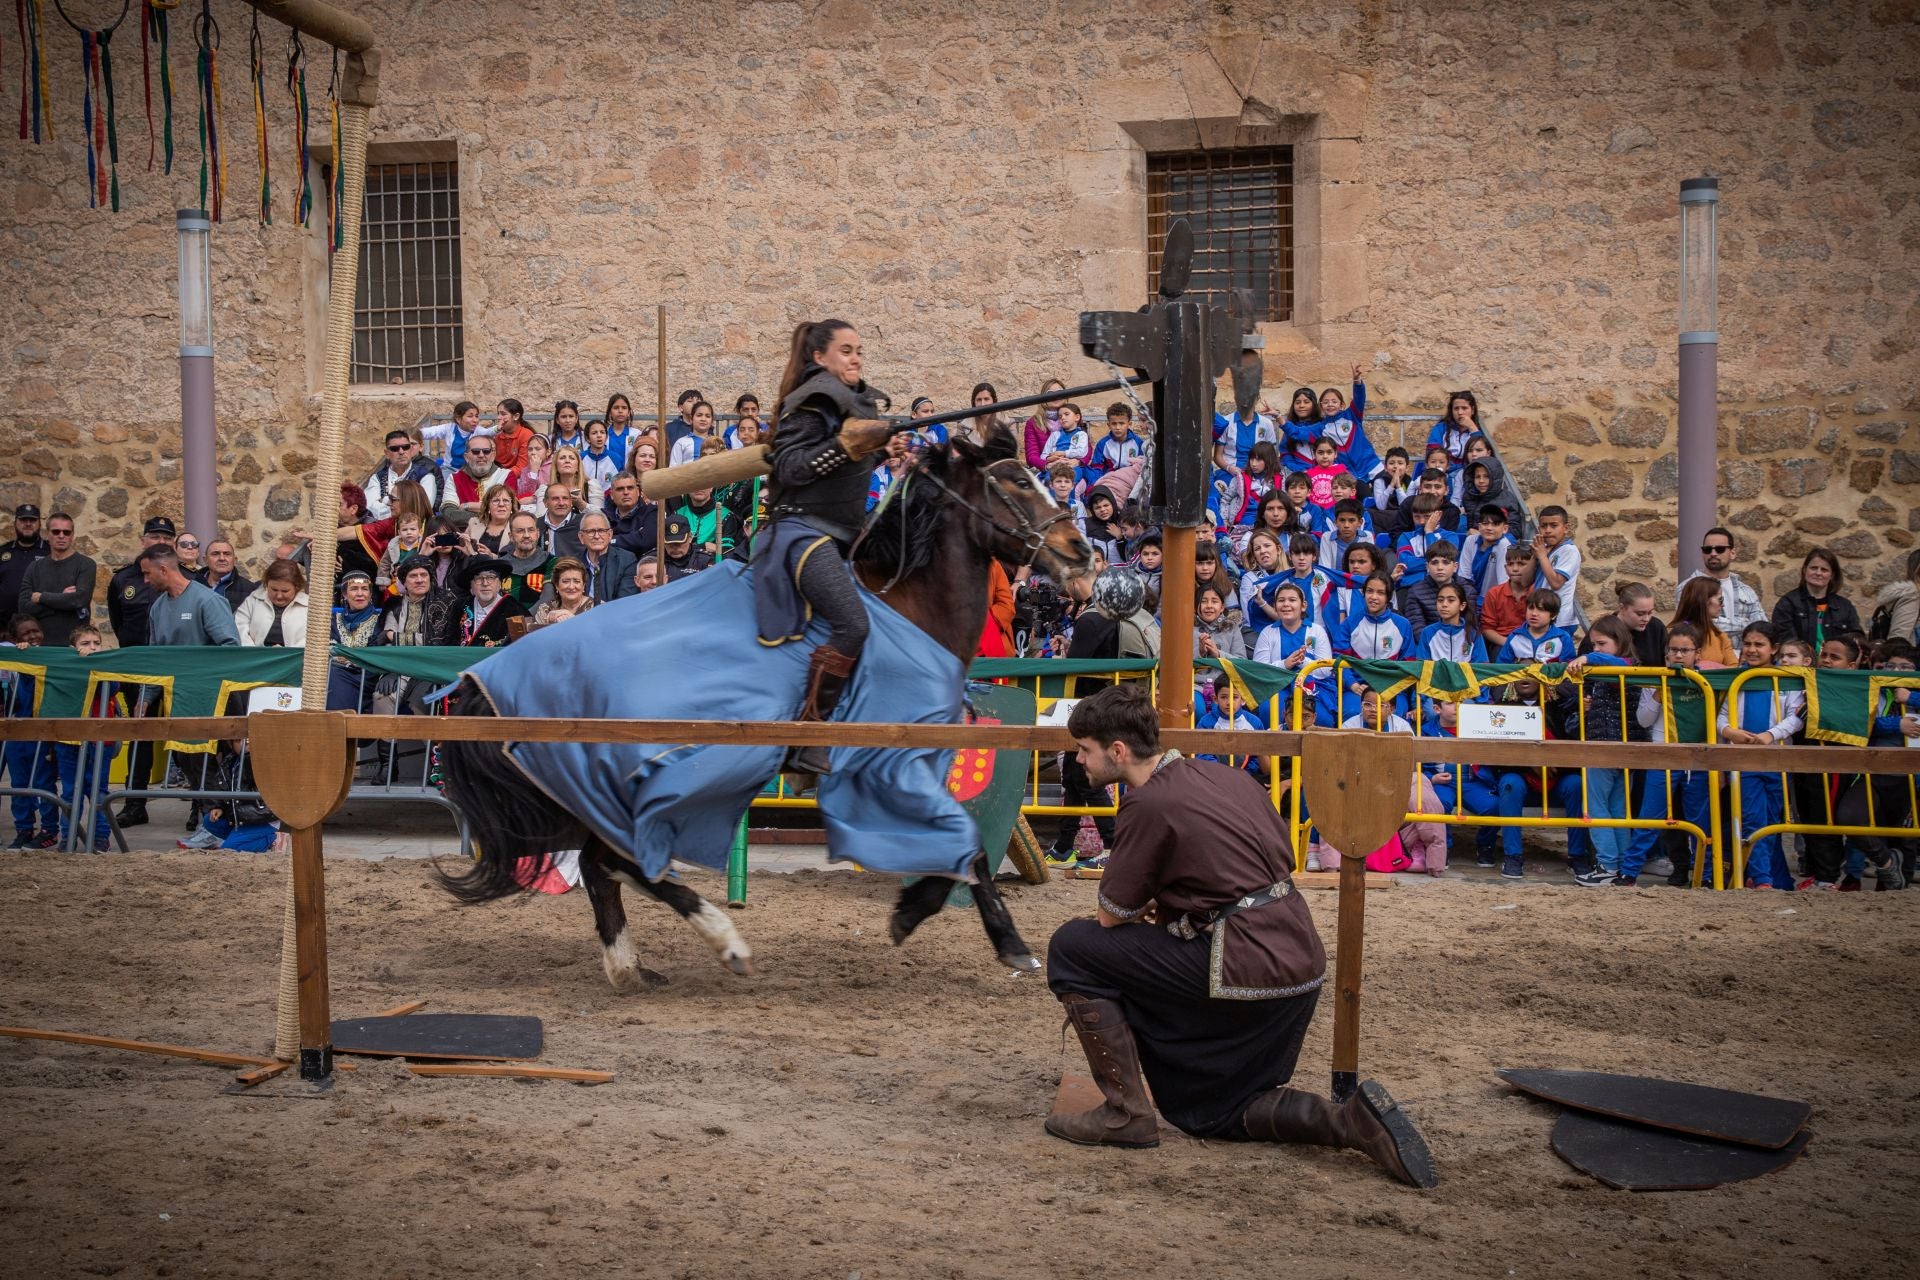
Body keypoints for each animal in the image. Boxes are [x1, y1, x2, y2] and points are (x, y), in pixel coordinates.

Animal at [439, 427, 1098, 990]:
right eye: (1015, 483)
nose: (1081, 552)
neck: (909, 607)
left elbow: (964, 841)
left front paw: (938, 917)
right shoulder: (895, 764)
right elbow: (968, 842)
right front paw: (979, 933)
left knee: (604, 867)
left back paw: (631, 966)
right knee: (624, 863)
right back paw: (724, 942)